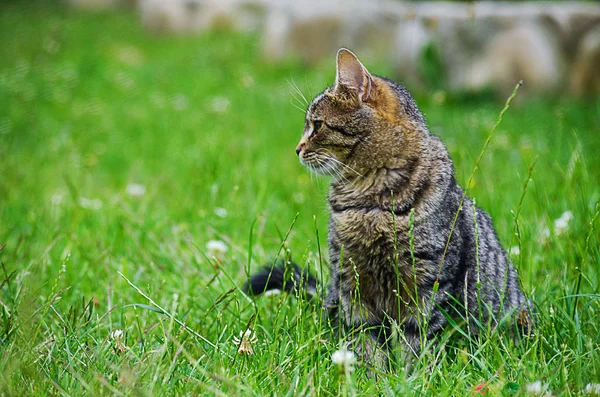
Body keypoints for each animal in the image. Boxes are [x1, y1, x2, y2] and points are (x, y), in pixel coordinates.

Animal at [246, 48, 532, 366]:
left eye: (317, 125)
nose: (298, 148)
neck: (369, 201)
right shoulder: (351, 283)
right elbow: (365, 341)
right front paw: (371, 373)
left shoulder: (427, 284)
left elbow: (416, 342)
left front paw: (412, 374)